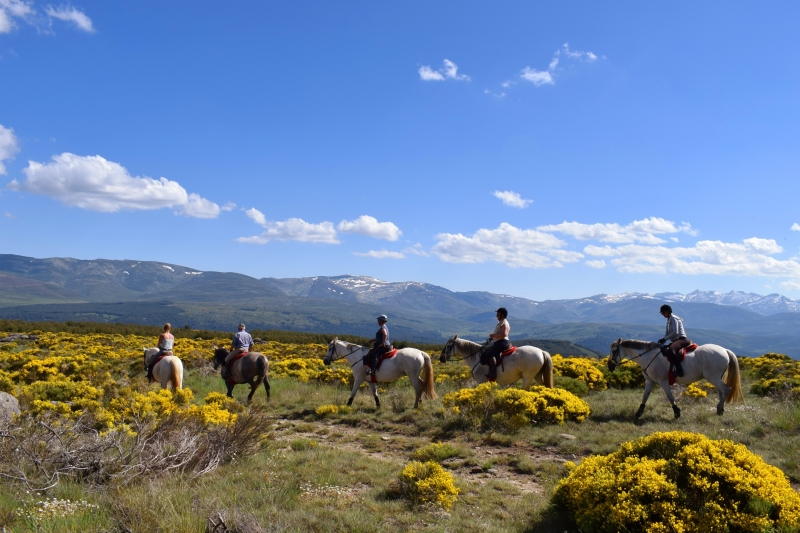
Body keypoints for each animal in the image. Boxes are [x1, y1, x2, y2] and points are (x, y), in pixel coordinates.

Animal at [612, 336, 744, 420]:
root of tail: (725, 350)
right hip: (715, 378)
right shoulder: (649, 381)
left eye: (613, 351)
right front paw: (638, 413)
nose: (610, 366)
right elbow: (645, 397)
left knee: (726, 389)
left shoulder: (663, 381)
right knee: (721, 392)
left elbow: (670, 397)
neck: (648, 356)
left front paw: (677, 413)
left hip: (713, 377)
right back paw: (719, 410)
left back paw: (720, 408)